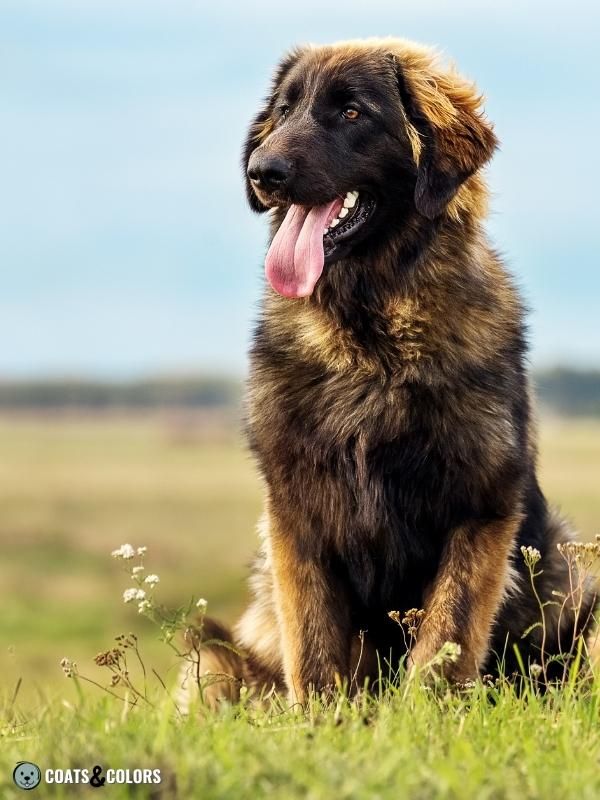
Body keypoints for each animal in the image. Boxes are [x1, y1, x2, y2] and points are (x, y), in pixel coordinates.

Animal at [186, 39, 596, 708]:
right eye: (283, 110)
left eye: (352, 113)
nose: (262, 172)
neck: (371, 344)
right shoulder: (297, 511)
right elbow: (315, 646)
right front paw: (321, 721)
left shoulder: (479, 509)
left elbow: (445, 635)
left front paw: (427, 713)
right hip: (215, 656)